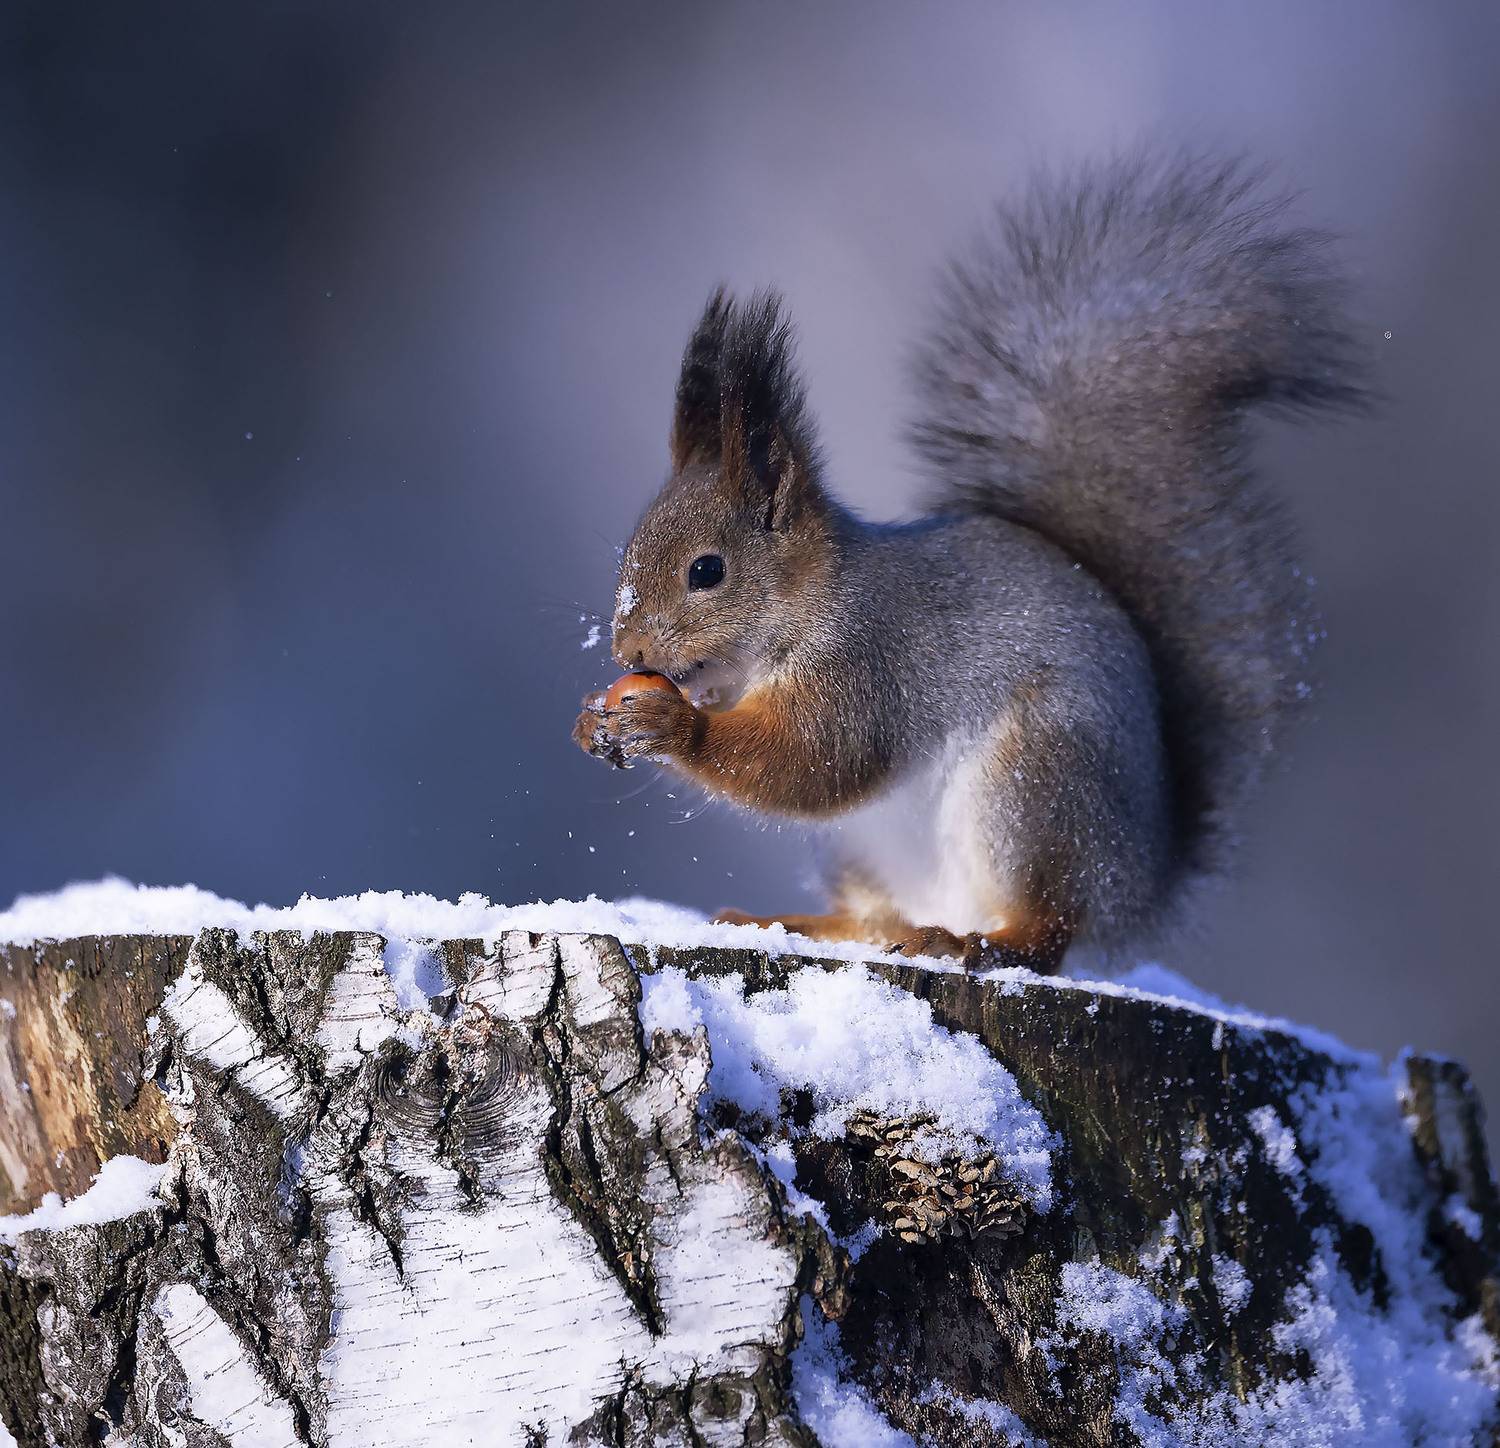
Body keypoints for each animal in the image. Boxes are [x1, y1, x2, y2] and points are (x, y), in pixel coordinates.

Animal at [574, 156, 1364, 973]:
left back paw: (974, 940)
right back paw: (797, 923)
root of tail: (1139, 883)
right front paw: (594, 721)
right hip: (869, 848)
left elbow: (820, 760)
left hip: (1035, 785)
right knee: (875, 919)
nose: (628, 651)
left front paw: (673, 725)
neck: (810, 599)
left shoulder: (868, 663)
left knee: (1049, 928)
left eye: (707, 572)